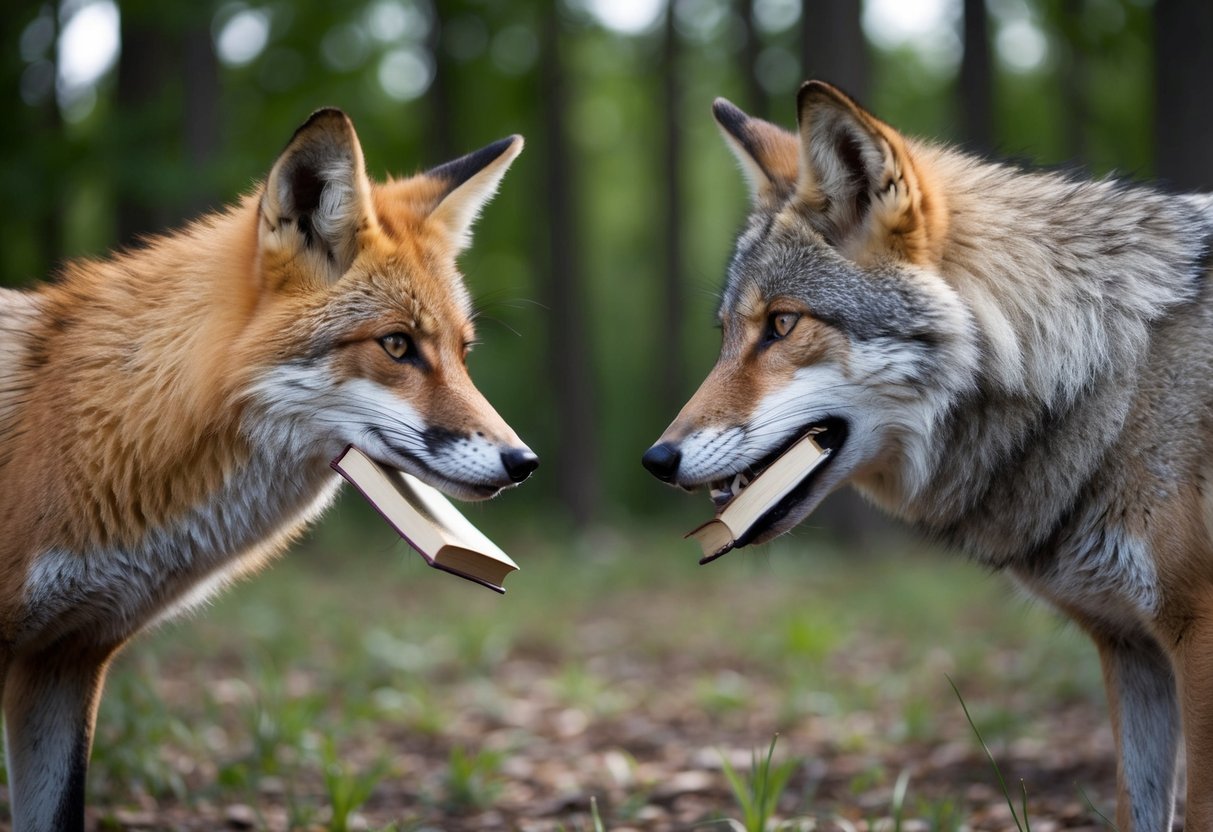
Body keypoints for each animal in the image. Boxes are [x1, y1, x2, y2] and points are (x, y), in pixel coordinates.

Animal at [643, 80, 1213, 831]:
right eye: (728, 333)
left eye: (782, 324)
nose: (656, 458)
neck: (1107, 371)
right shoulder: (1131, 648)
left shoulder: (1194, 635)